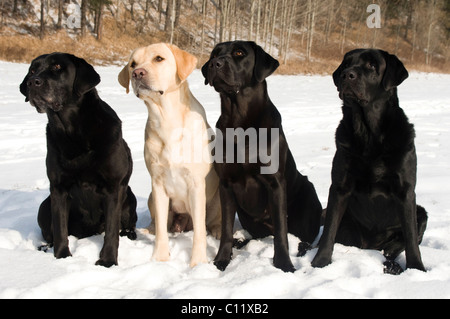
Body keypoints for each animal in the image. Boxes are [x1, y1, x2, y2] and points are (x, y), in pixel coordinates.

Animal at [20, 53, 137, 268]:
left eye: (58, 67)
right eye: (32, 70)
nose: (33, 82)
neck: (73, 131)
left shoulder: (113, 187)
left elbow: (111, 231)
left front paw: (107, 261)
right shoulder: (58, 188)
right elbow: (60, 229)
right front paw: (61, 257)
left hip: (128, 198)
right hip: (44, 206)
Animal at [202, 41, 322, 274]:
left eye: (239, 52)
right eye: (214, 53)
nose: (214, 64)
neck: (239, 122)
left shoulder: (275, 183)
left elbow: (282, 233)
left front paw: (284, 264)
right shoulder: (226, 184)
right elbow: (226, 229)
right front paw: (222, 259)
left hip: (307, 197)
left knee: (303, 240)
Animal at [312, 48, 428, 276]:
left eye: (372, 66)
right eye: (346, 63)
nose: (347, 75)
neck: (368, 133)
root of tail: (370, 246)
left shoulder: (406, 190)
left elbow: (411, 239)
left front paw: (416, 268)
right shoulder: (340, 186)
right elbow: (328, 231)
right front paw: (320, 262)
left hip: (421, 212)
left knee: (397, 244)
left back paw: (391, 262)